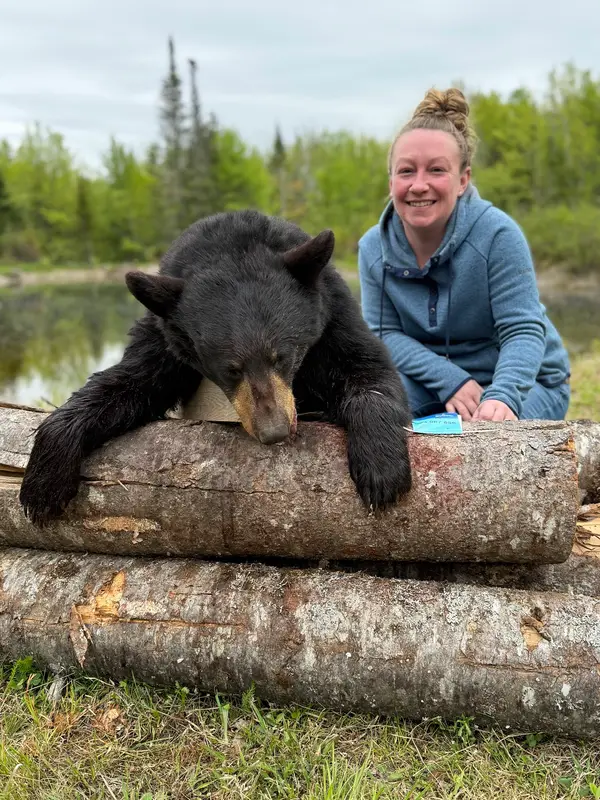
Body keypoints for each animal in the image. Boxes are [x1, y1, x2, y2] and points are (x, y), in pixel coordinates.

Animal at [19, 210, 413, 526]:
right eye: (230, 369)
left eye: (282, 356)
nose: (275, 431)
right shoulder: (165, 339)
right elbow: (128, 383)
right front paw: (43, 483)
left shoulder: (333, 319)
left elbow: (371, 372)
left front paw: (381, 469)